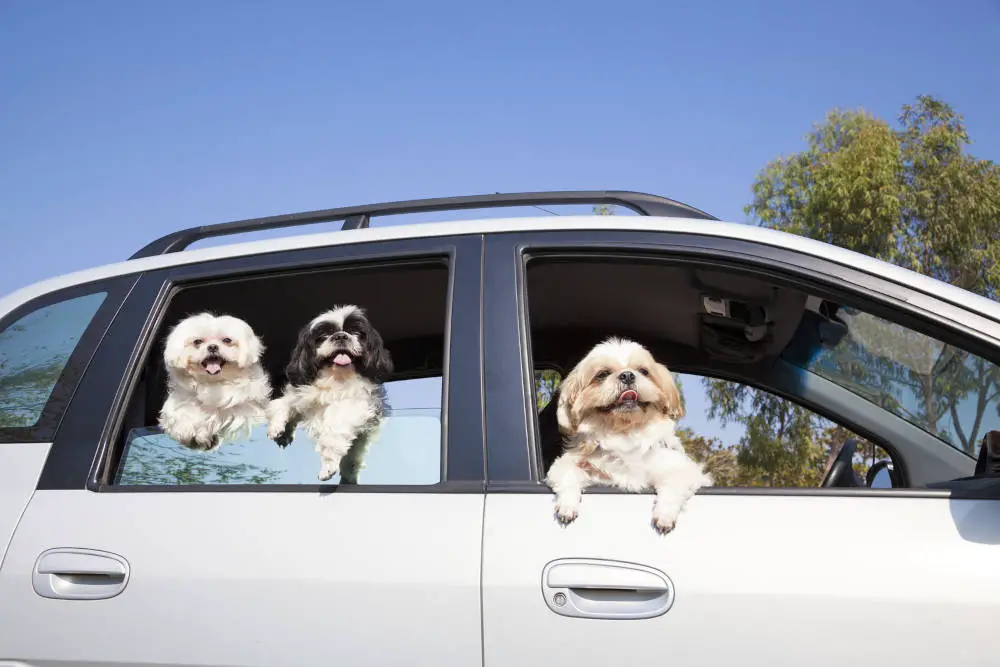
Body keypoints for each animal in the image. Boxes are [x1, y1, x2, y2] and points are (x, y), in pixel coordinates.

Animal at [158, 312, 272, 448]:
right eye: (197, 341)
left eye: (227, 340)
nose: (212, 347)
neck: (213, 383)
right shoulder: (181, 404)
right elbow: (183, 414)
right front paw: (187, 429)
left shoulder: (245, 412)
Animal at [548, 336, 712, 536]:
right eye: (602, 374)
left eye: (643, 371)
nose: (627, 375)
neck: (625, 432)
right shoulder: (576, 465)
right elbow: (568, 475)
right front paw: (567, 506)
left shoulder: (683, 469)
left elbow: (673, 486)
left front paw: (664, 515)